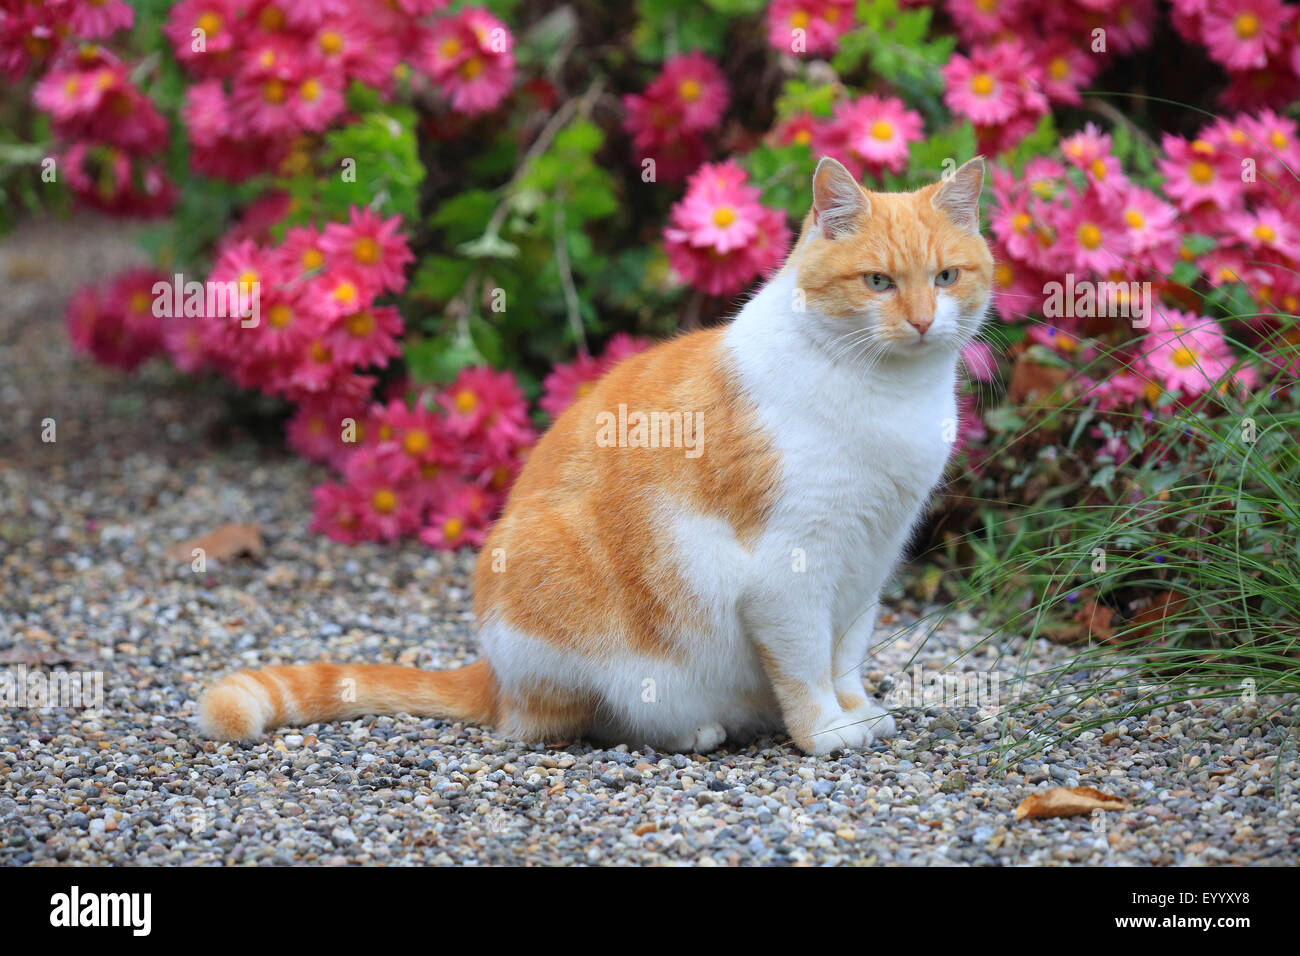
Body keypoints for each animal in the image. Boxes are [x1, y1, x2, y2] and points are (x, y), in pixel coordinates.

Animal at [200, 157, 993, 754]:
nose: (923, 321)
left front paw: (857, 710)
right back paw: (689, 730)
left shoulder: (871, 557)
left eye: (946, 277)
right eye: (878, 282)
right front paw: (826, 730)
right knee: (569, 722)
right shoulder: (788, 573)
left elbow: (846, 652)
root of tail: (495, 674)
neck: (888, 395)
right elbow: (804, 665)